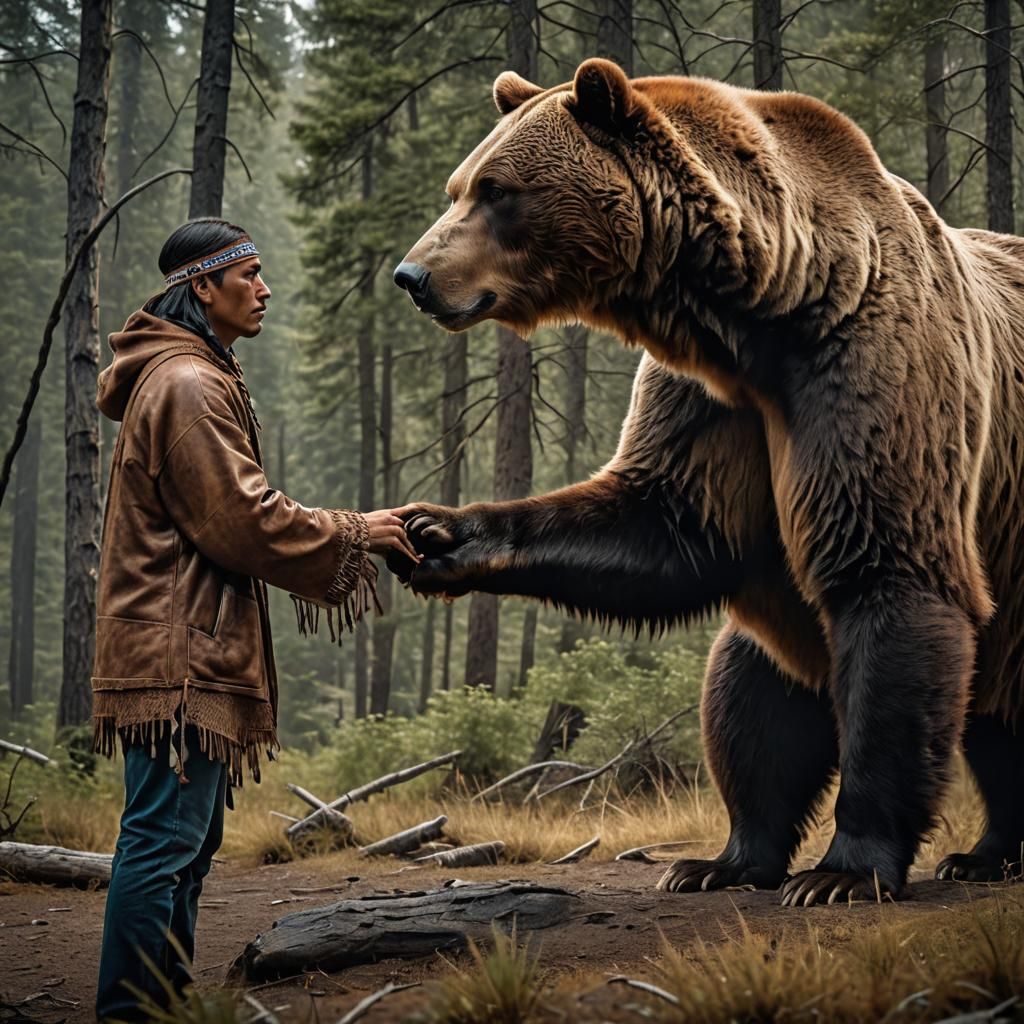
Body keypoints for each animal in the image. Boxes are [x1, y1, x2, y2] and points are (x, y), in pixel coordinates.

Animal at [391, 59, 1024, 906]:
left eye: (497, 190)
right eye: (458, 186)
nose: (413, 274)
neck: (768, 312)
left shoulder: (868, 371)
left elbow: (888, 578)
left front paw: (842, 872)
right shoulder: (713, 407)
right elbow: (668, 525)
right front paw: (438, 532)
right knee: (750, 691)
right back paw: (737, 859)